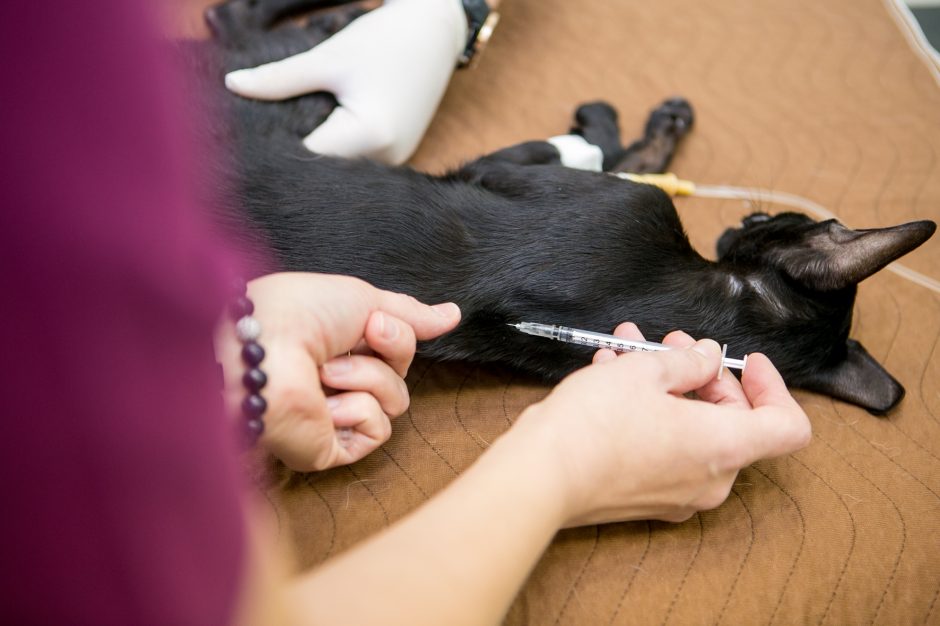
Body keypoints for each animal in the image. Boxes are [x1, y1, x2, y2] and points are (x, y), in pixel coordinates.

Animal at [196, 0, 932, 412]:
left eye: (764, 222)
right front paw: (663, 129)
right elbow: (623, 152)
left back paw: (337, 18)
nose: (743, 218)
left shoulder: (500, 168)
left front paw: (616, 123)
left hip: (293, 88)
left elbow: (597, 147)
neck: (719, 304)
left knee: (237, 19)